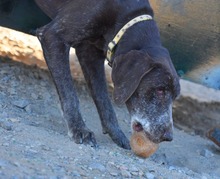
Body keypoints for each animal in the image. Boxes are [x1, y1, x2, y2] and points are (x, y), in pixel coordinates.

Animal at [34, 0, 180, 148]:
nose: (168, 137)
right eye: (160, 90)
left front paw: (116, 134)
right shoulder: (53, 36)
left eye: (175, 97)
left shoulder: (89, 53)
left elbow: (103, 99)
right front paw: (79, 129)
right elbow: (70, 94)